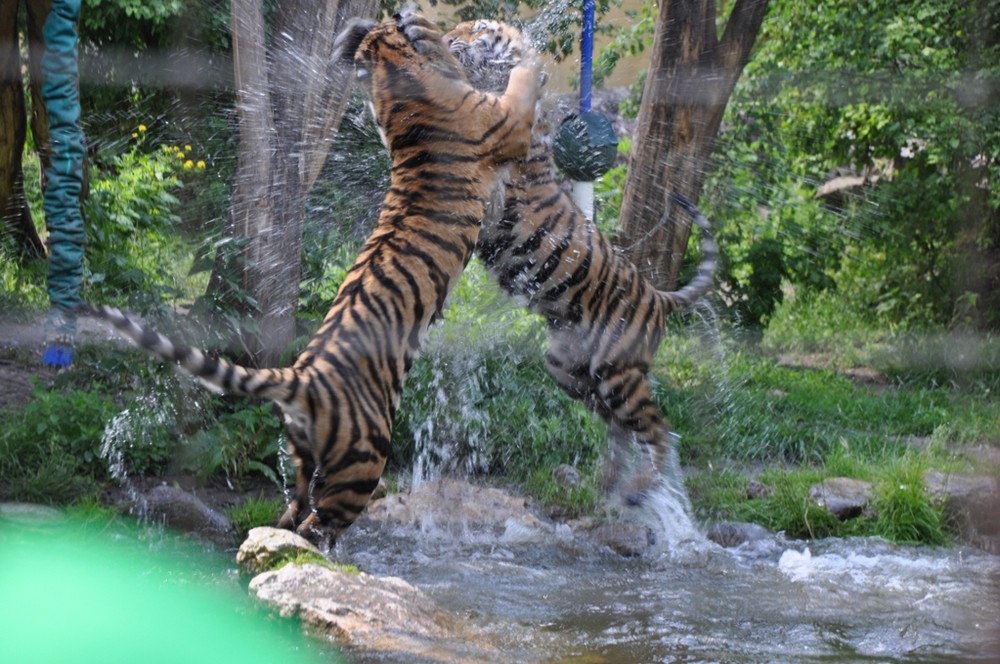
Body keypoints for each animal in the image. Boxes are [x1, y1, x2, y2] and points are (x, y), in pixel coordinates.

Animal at [82, 10, 544, 544]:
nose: (414, 17)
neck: (395, 85)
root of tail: (301, 378)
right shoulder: (505, 120)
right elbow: (523, 80)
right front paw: (520, 44)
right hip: (363, 463)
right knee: (316, 528)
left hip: (303, 457)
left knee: (291, 512)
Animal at [442, 18, 716, 500]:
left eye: (478, 29)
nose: (447, 36)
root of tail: (658, 297)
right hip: (568, 368)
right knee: (619, 426)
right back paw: (606, 481)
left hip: (618, 371)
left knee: (658, 428)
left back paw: (640, 484)